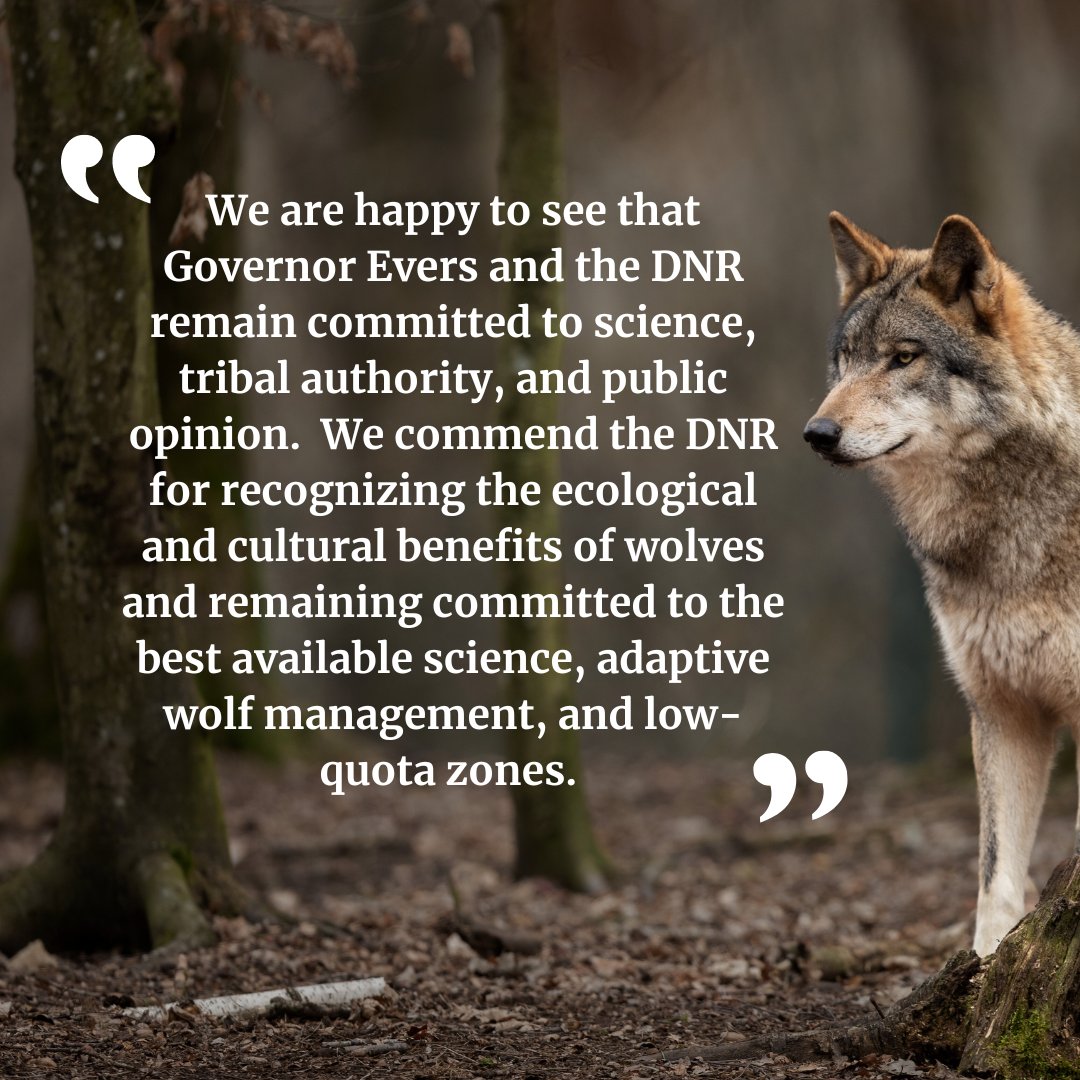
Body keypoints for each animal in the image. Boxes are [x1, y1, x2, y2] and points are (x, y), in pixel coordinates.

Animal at [806, 212, 1080, 956]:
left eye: (904, 358)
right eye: (847, 360)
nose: (817, 432)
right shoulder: (1003, 710)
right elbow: (995, 879)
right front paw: (984, 963)